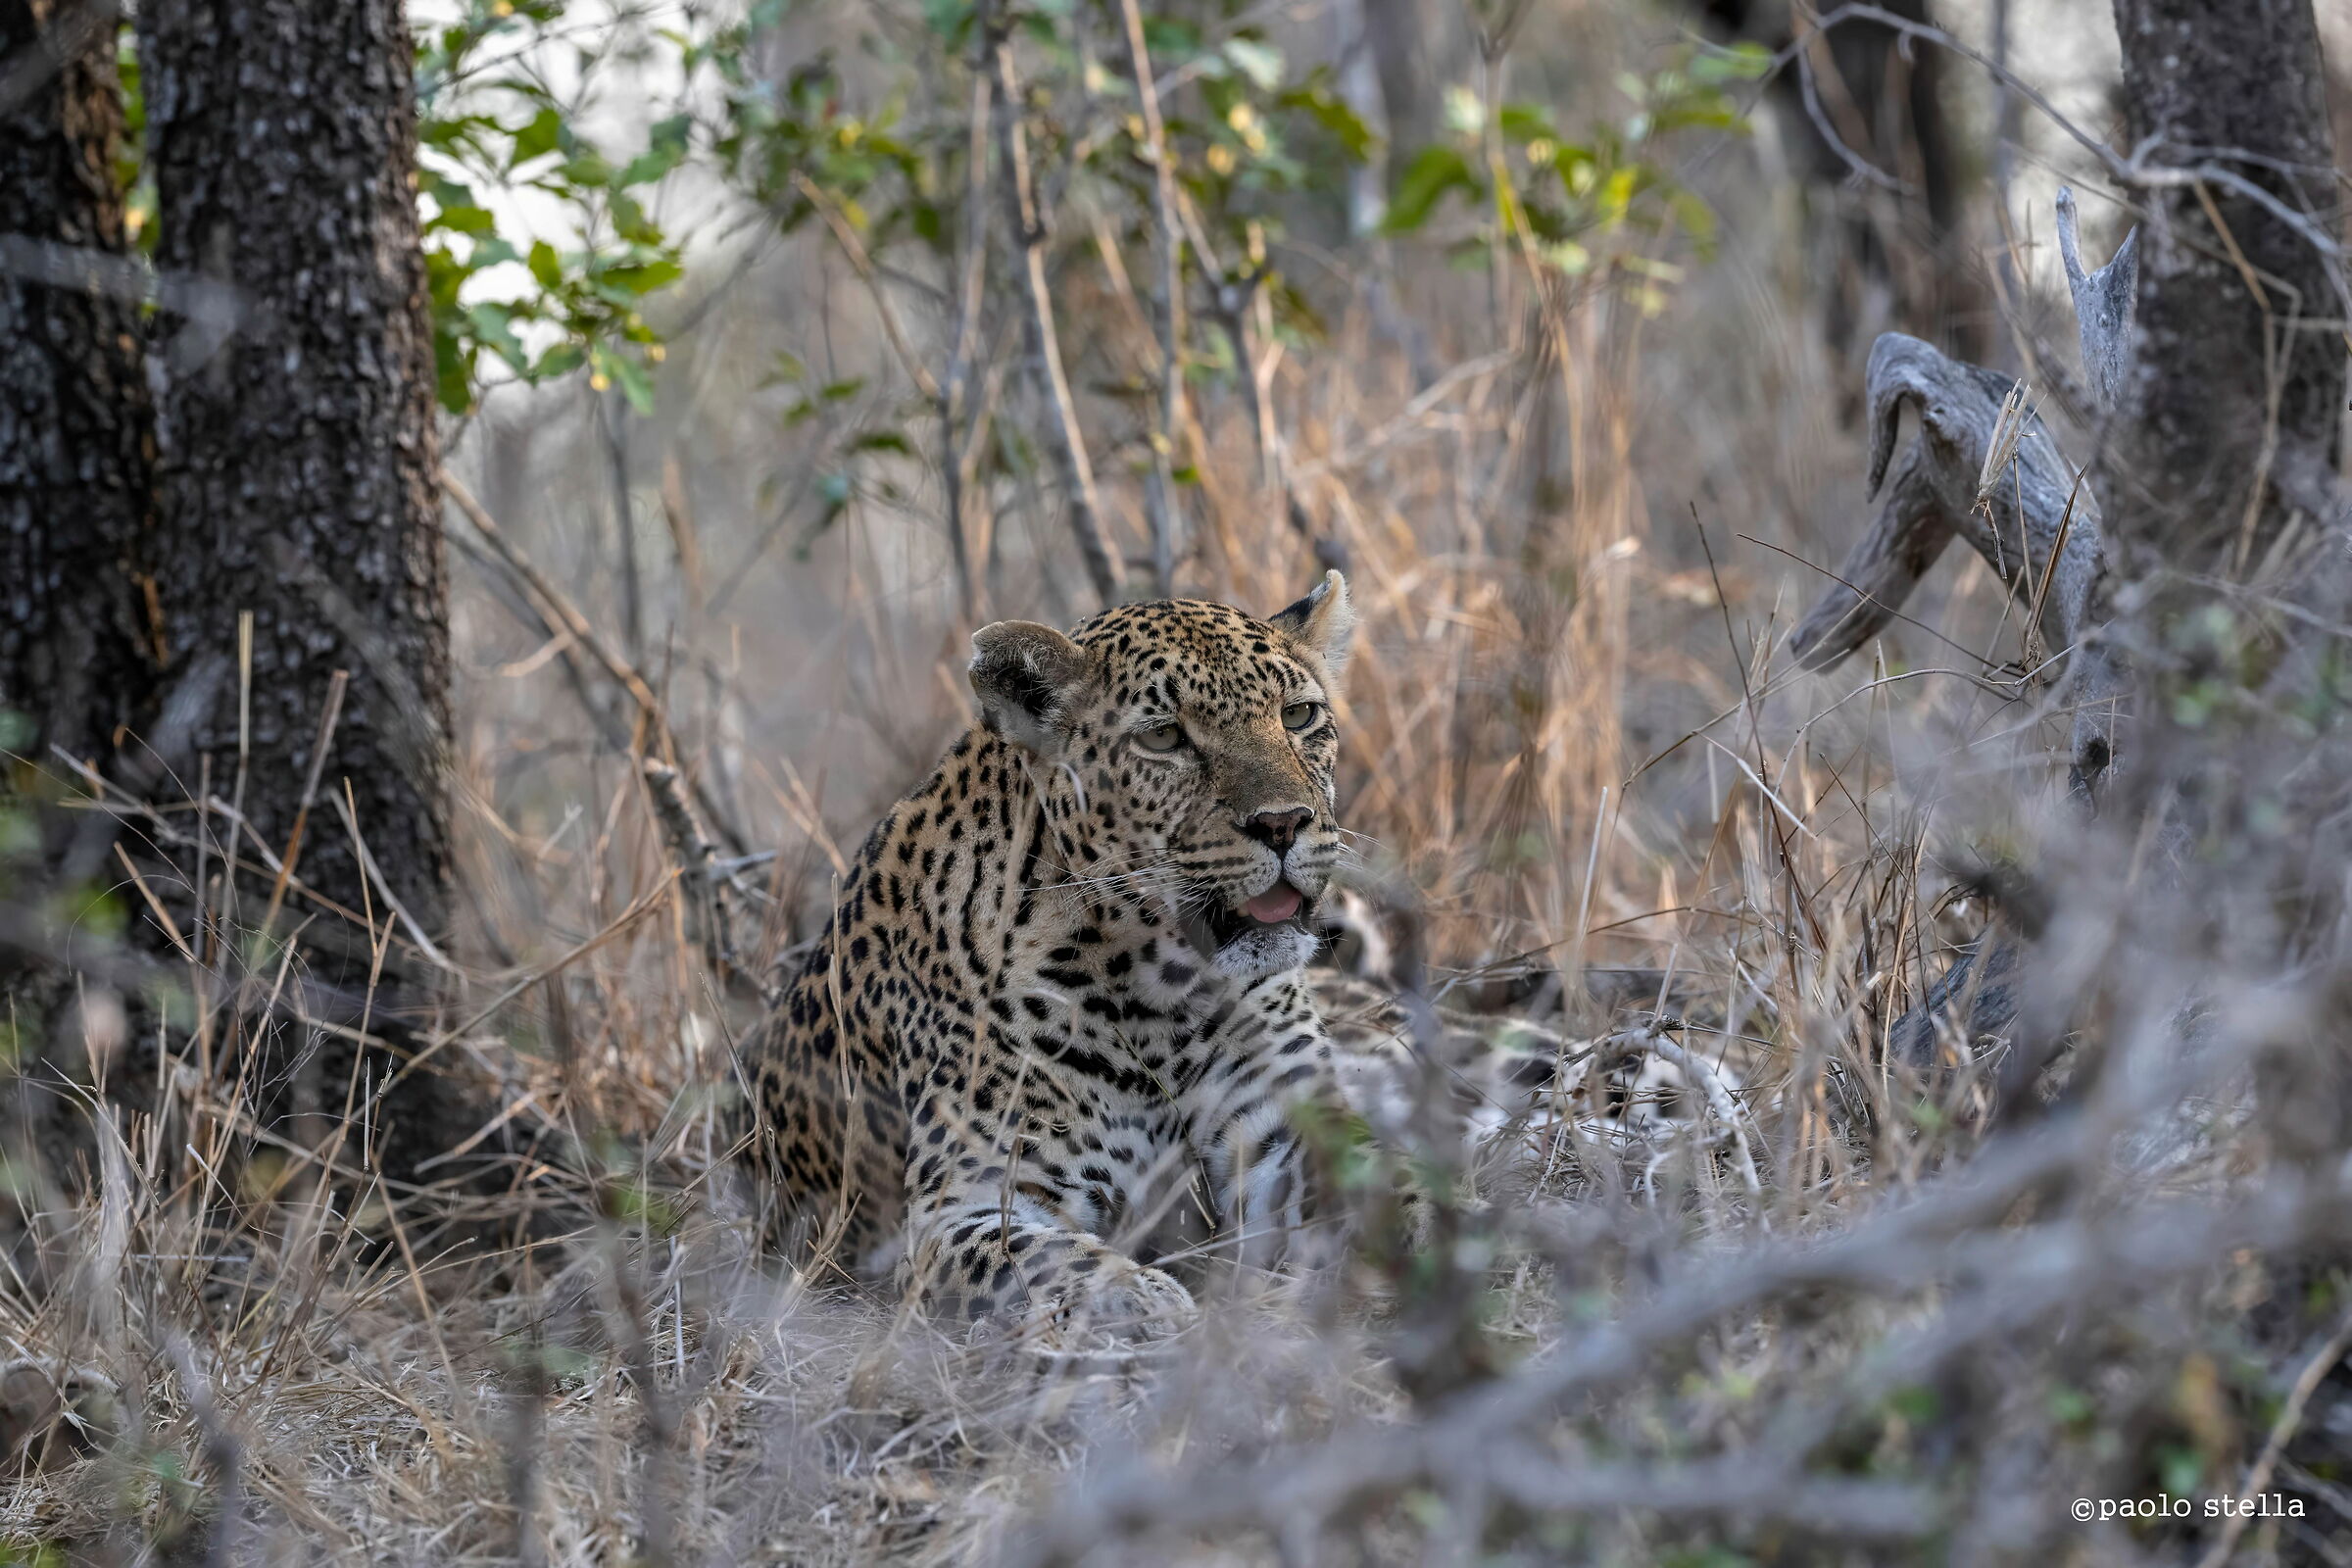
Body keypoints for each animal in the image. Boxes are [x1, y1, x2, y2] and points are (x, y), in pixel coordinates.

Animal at [731, 572, 1359, 1336]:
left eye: (1299, 716)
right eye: (1165, 737)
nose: (1284, 823)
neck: (1166, 988)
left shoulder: (1287, 1121)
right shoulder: (963, 1206)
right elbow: (1047, 1260)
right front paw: (1151, 1303)